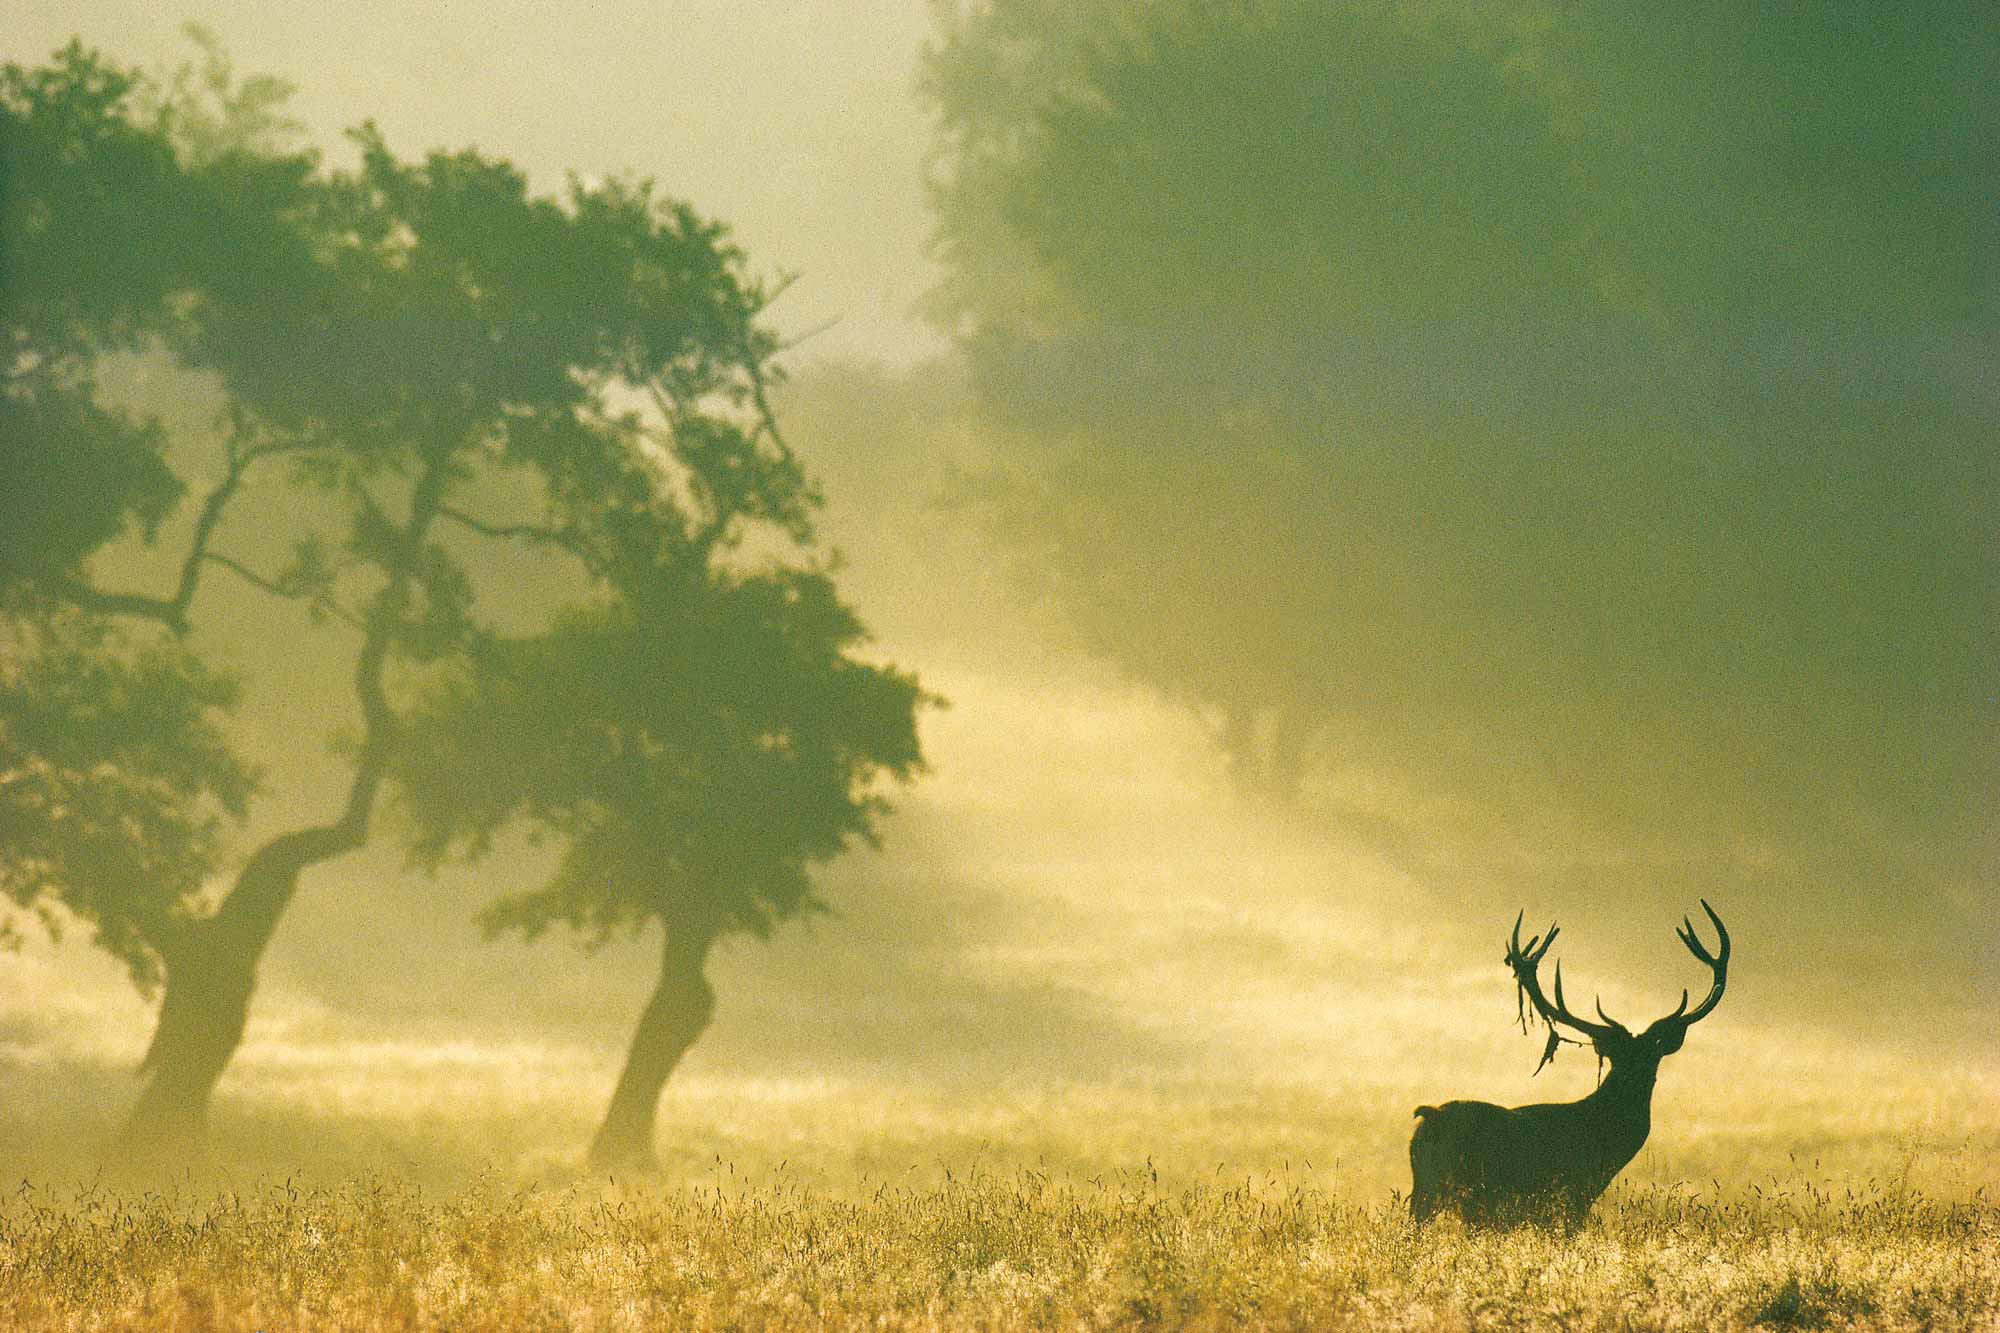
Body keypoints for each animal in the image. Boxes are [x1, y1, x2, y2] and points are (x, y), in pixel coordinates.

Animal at [1416, 892, 1728, 1224]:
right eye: (1619, 1057)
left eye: (1652, 1055)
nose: (1638, 1080)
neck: (1602, 1141)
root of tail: (1429, 1115)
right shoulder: (1571, 1193)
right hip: (1470, 1190)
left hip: (1426, 1189)